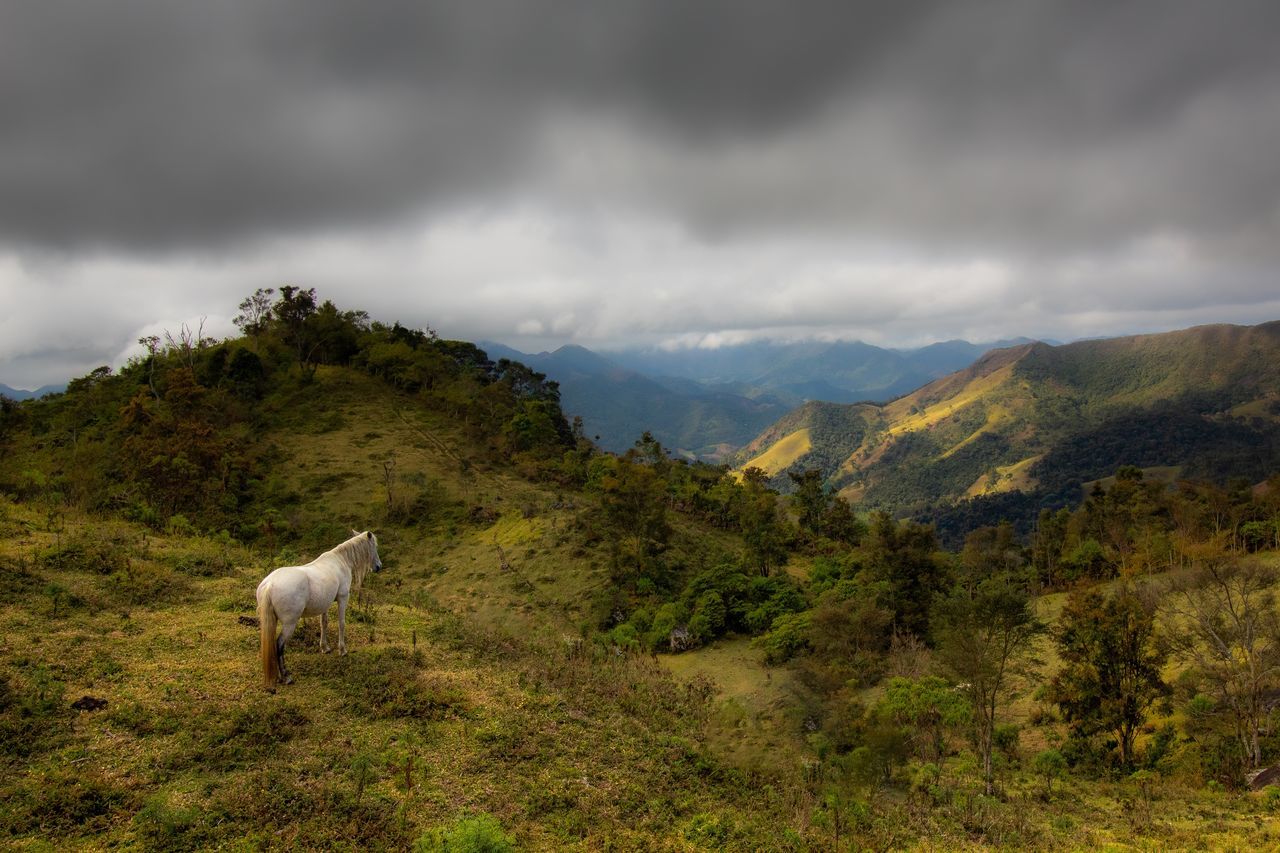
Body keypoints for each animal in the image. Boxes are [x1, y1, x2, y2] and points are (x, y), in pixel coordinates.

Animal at [256, 527, 381, 686]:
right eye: (374, 546)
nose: (378, 567)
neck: (341, 561)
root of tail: (270, 584)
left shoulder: (325, 603)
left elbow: (324, 623)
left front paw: (325, 648)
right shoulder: (343, 598)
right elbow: (341, 623)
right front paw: (342, 650)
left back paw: (278, 676)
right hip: (289, 623)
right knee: (279, 644)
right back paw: (286, 676)